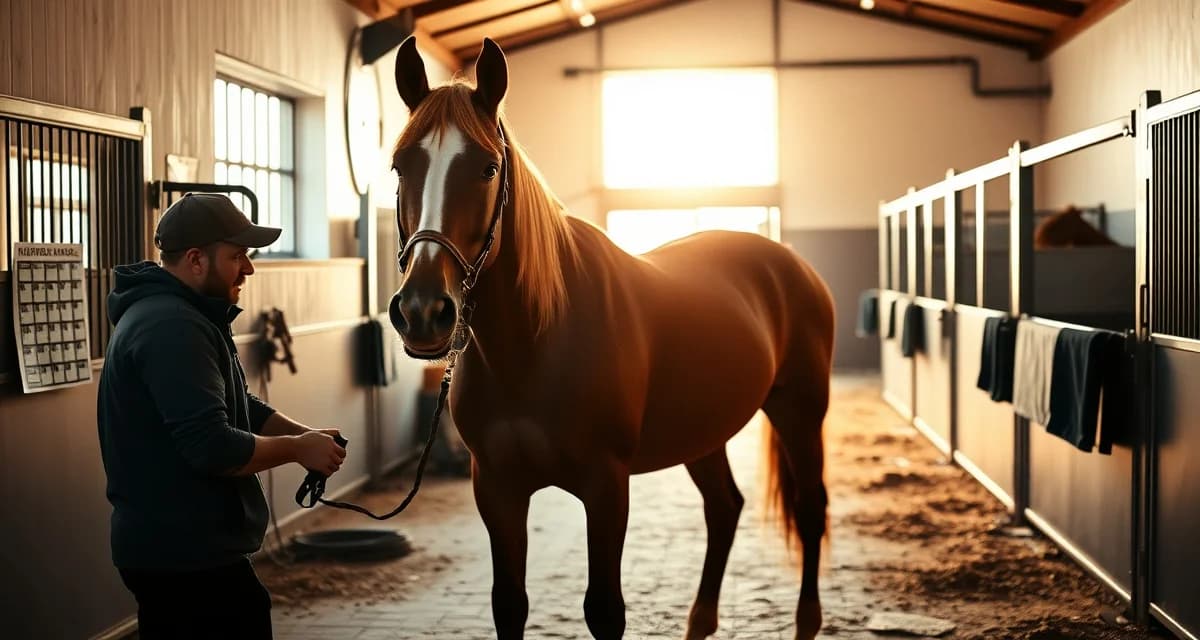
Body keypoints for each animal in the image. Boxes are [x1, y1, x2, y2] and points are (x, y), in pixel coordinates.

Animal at [385, 36, 835, 640]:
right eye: (399, 166)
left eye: (487, 167)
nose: (422, 312)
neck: (534, 346)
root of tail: (793, 264)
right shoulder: (497, 489)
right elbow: (509, 605)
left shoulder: (606, 487)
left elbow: (604, 610)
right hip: (703, 431)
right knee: (724, 507)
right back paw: (700, 621)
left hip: (799, 411)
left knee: (810, 509)